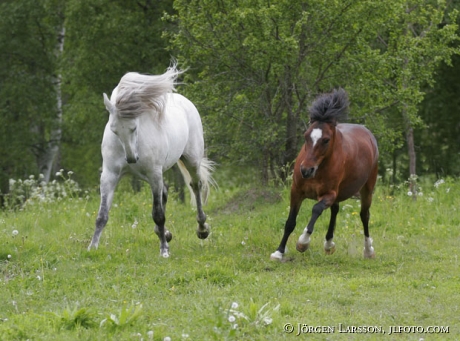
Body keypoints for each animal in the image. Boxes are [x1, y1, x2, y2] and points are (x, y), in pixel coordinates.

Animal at [87, 63, 214, 256]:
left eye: (134, 127)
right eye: (114, 130)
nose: (131, 159)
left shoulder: (154, 174)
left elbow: (158, 215)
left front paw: (164, 251)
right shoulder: (109, 175)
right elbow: (102, 215)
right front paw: (92, 247)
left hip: (191, 160)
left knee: (195, 186)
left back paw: (202, 229)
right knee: (165, 192)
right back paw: (166, 234)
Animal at [270, 87, 378, 260]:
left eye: (326, 140)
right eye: (306, 136)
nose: (306, 170)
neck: (319, 169)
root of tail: (368, 134)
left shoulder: (329, 194)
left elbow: (316, 209)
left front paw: (303, 242)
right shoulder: (296, 191)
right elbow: (290, 222)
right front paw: (279, 252)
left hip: (367, 188)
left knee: (364, 215)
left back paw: (368, 250)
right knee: (335, 210)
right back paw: (328, 245)